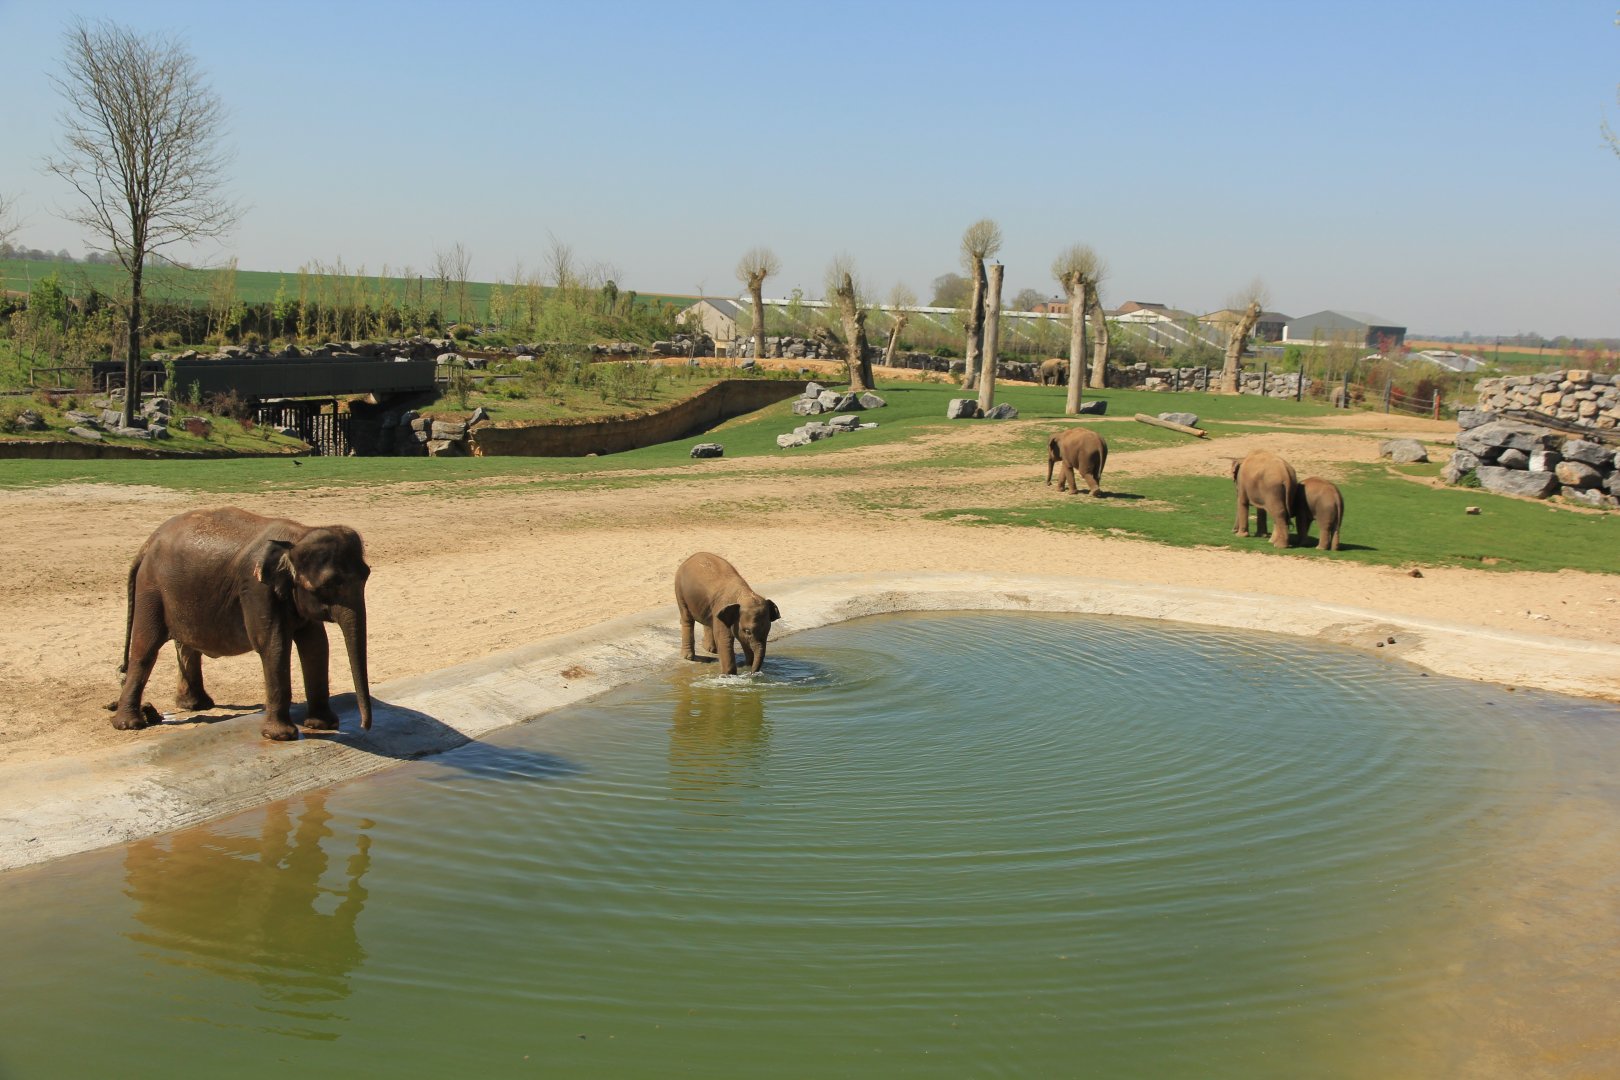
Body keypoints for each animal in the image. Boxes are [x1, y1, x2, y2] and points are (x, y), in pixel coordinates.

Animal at [112, 507, 373, 741]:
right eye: (327, 585)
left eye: (367, 575)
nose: (364, 726)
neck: (297, 537)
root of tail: (148, 542)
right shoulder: (256, 589)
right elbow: (273, 645)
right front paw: (280, 736)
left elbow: (316, 644)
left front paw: (322, 725)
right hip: (151, 589)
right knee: (146, 649)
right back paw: (129, 724)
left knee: (186, 645)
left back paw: (196, 705)